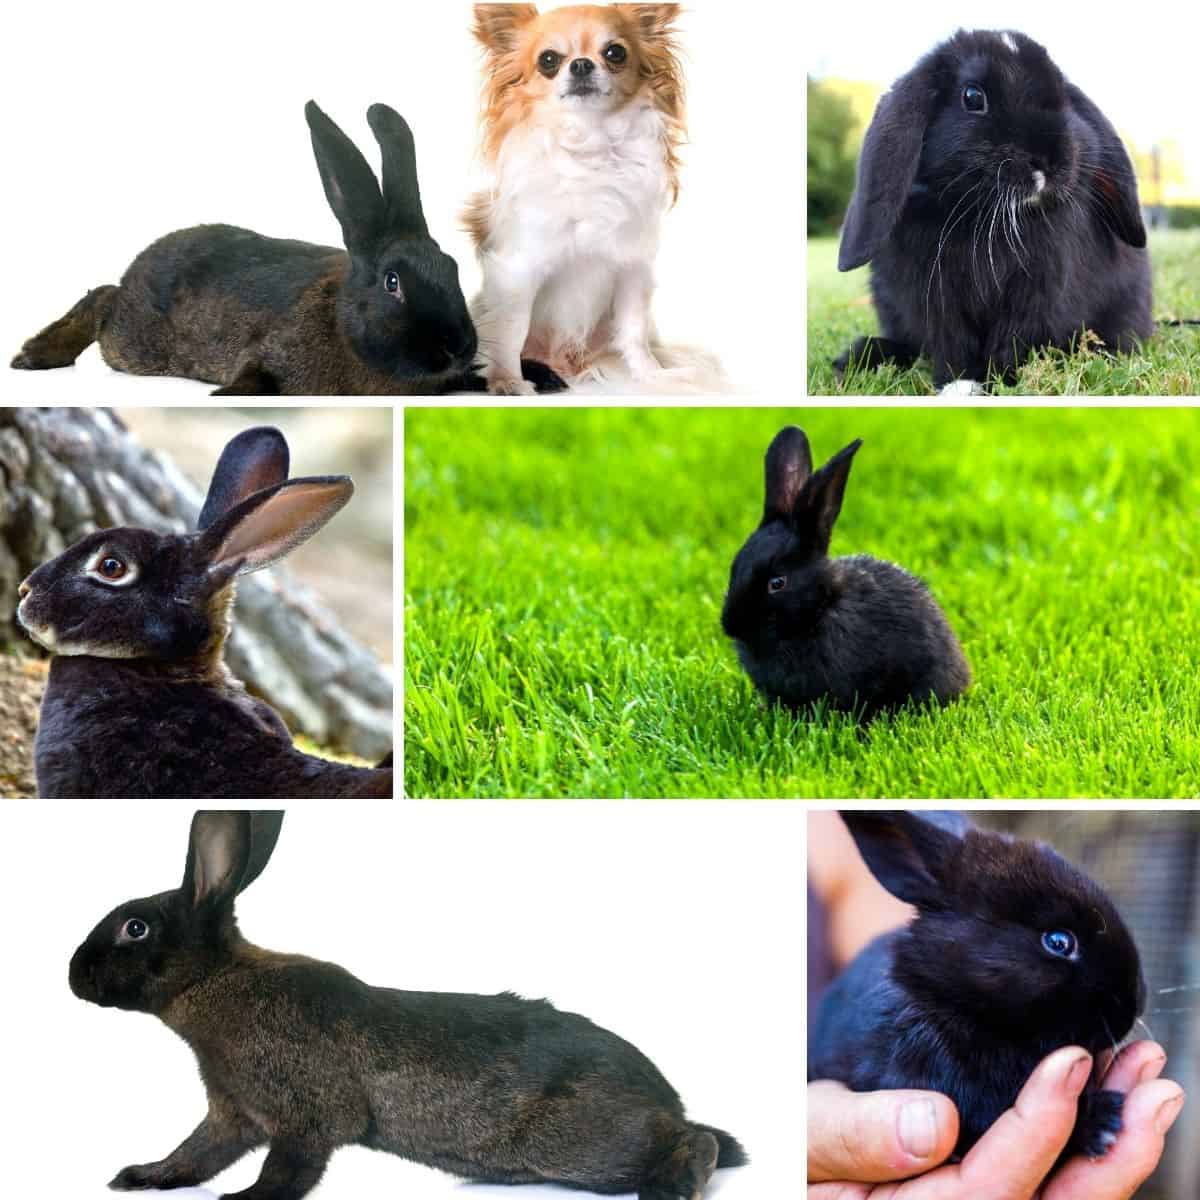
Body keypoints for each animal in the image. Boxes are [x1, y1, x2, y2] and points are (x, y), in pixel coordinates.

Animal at [11, 101, 566, 396]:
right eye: (393, 283)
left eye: (452, 268)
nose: (455, 346)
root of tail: (138, 264)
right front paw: (229, 392)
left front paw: (543, 376)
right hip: (133, 339)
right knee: (102, 298)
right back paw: (34, 355)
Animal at [69, 810, 748, 1200]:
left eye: (135, 929)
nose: (74, 974)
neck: (217, 980)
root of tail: (664, 1096)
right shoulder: (231, 1114)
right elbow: (194, 1155)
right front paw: (139, 1177)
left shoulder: (306, 1115)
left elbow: (288, 1170)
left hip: (588, 1145)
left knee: (693, 1139)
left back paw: (672, 1186)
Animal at [832, 29, 1153, 394]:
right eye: (972, 97)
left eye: (1063, 97)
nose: (1049, 160)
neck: (980, 217)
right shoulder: (934, 298)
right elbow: (951, 343)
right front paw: (958, 384)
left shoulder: (1036, 296)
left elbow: (1012, 341)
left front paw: (999, 383)